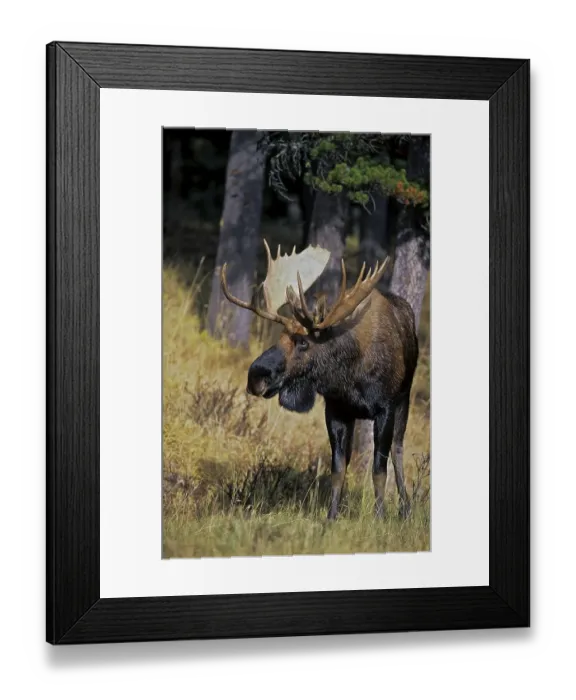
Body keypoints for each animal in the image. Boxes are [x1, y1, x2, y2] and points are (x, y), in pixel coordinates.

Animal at [220, 239, 419, 520]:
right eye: (280, 336)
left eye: (303, 342)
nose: (255, 376)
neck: (349, 376)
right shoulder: (336, 409)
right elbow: (338, 469)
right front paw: (332, 517)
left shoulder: (385, 408)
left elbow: (379, 469)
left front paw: (379, 517)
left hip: (405, 398)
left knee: (397, 449)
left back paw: (405, 509)